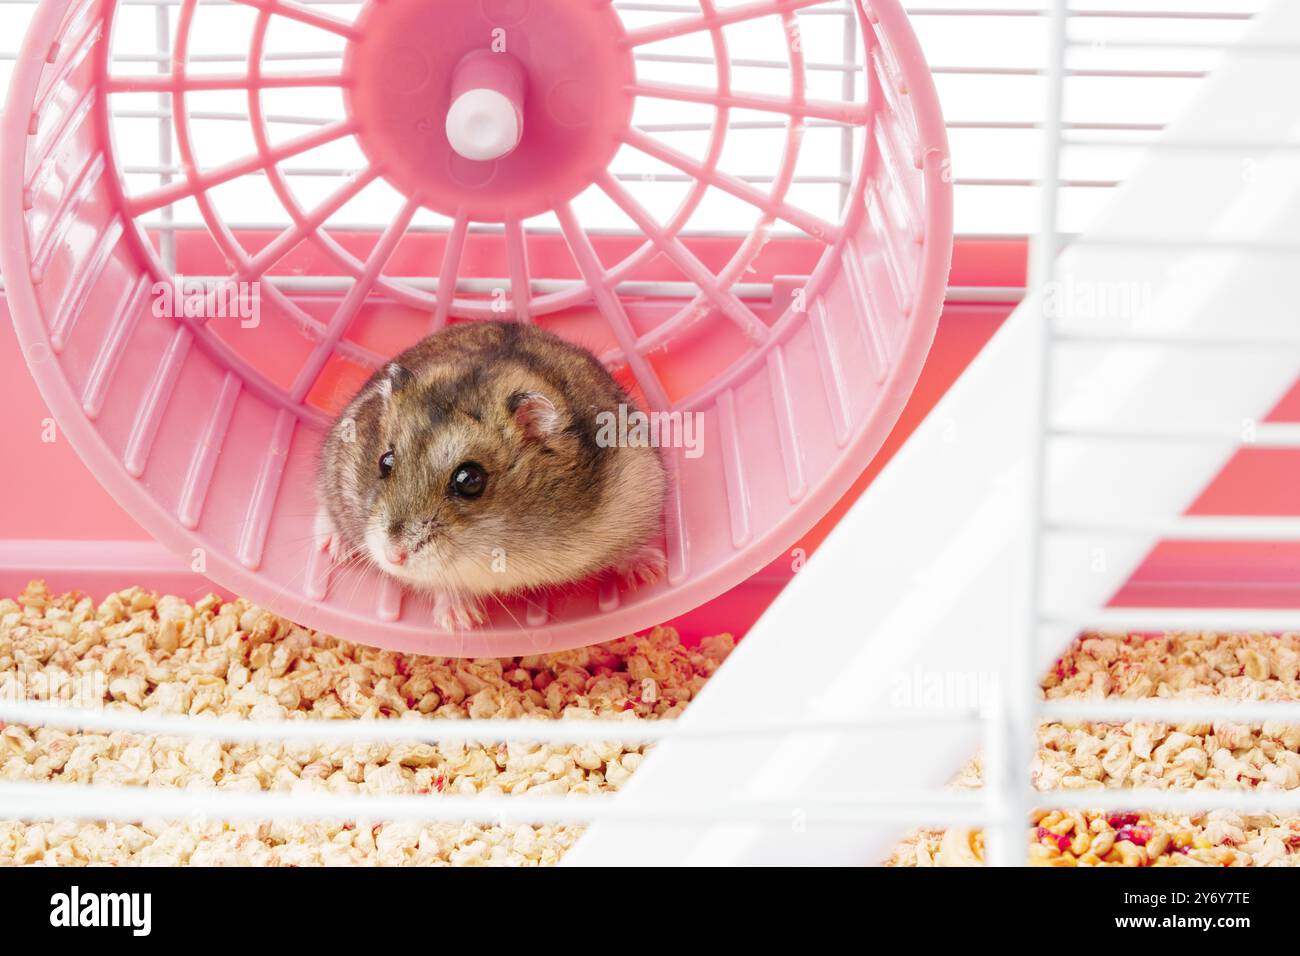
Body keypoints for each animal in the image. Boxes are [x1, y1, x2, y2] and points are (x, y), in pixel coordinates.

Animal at [316, 320, 668, 630]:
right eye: (385, 462)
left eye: (469, 480)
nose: (394, 556)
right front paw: (463, 622)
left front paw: (653, 571)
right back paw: (334, 548)